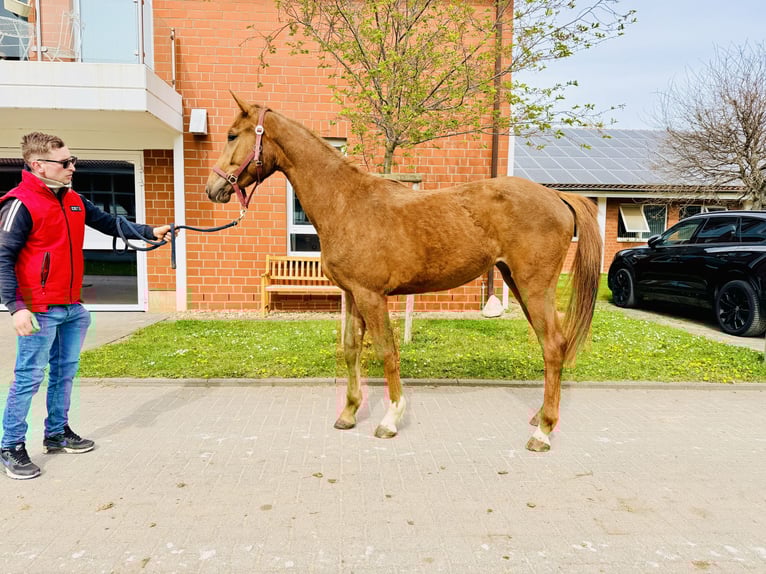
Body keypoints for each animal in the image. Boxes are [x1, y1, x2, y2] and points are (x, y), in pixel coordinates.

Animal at [205, 94, 602, 452]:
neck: (346, 202)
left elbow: (386, 351)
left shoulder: (371, 295)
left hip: (534, 286)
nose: (213, 188)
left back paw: (543, 432)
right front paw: (348, 413)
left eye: (232, 135)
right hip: (516, 282)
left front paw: (390, 419)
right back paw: (539, 416)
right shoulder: (352, 294)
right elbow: (351, 349)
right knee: (550, 347)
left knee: (553, 345)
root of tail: (557, 197)